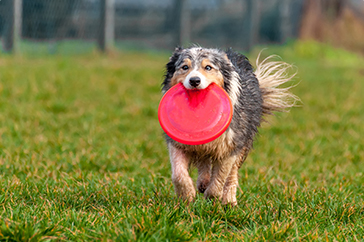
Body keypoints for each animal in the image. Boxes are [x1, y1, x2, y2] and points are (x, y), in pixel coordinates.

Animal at [161, 46, 298, 205]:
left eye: (208, 67)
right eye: (184, 67)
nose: (194, 80)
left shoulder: (230, 145)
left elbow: (221, 175)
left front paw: (213, 197)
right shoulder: (177, 142)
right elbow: (178, 173)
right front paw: (186, 195)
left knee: (232, 174)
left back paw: (229, 200)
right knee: (204, 160)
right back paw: (203, 182)